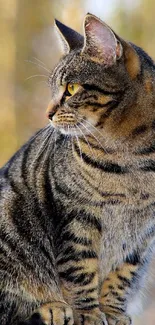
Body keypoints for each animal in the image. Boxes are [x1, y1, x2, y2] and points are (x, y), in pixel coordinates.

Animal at [0, 12, 155, 324]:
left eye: (71, 88)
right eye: (53, 89)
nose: (47, 113)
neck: (132, 157)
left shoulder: (143, 233)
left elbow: (123, 274)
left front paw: (112, 311)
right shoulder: (77, 214)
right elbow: (80, 268)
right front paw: (88, 313)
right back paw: (52, 307)